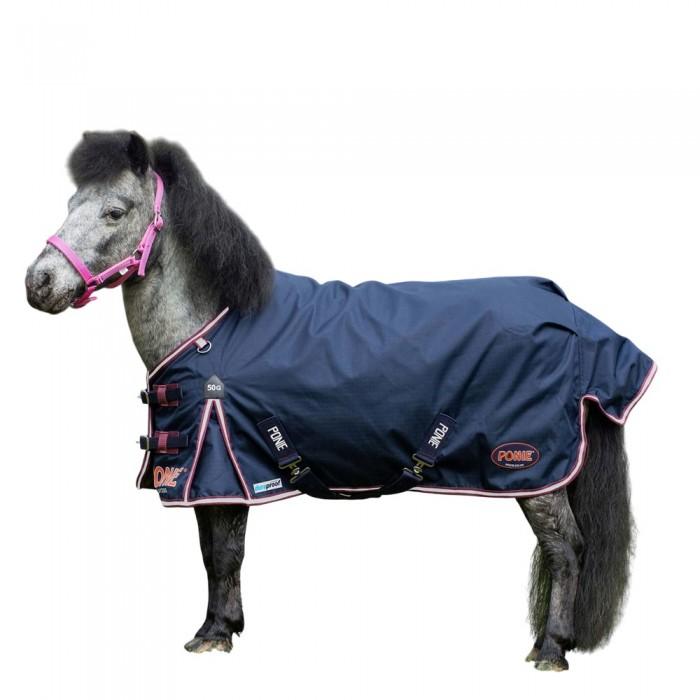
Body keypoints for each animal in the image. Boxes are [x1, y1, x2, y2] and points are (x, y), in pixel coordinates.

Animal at [25, 131, 654, 671]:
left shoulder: (220, 465)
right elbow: (218, 553)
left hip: (532, 471)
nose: (38, 284)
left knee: (566, 548)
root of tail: (568, 312)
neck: (214, 328)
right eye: (70, 201)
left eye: (114, 212)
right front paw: (224, 625)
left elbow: (222, 554)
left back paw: (551, 650)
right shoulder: (225, 475)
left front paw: (213, 635)